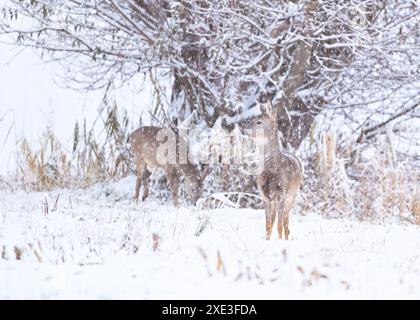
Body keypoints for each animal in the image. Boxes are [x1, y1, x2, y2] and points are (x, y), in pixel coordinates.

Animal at [244, 102, 304, 240]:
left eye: (259, 121)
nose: (244, 129)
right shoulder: (264, 195)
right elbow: (268, 224)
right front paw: (267, 240)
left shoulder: (282, 192)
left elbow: (279, 225)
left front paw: (279, 241)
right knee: (276, 220)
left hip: (292, 196)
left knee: (286, 222)